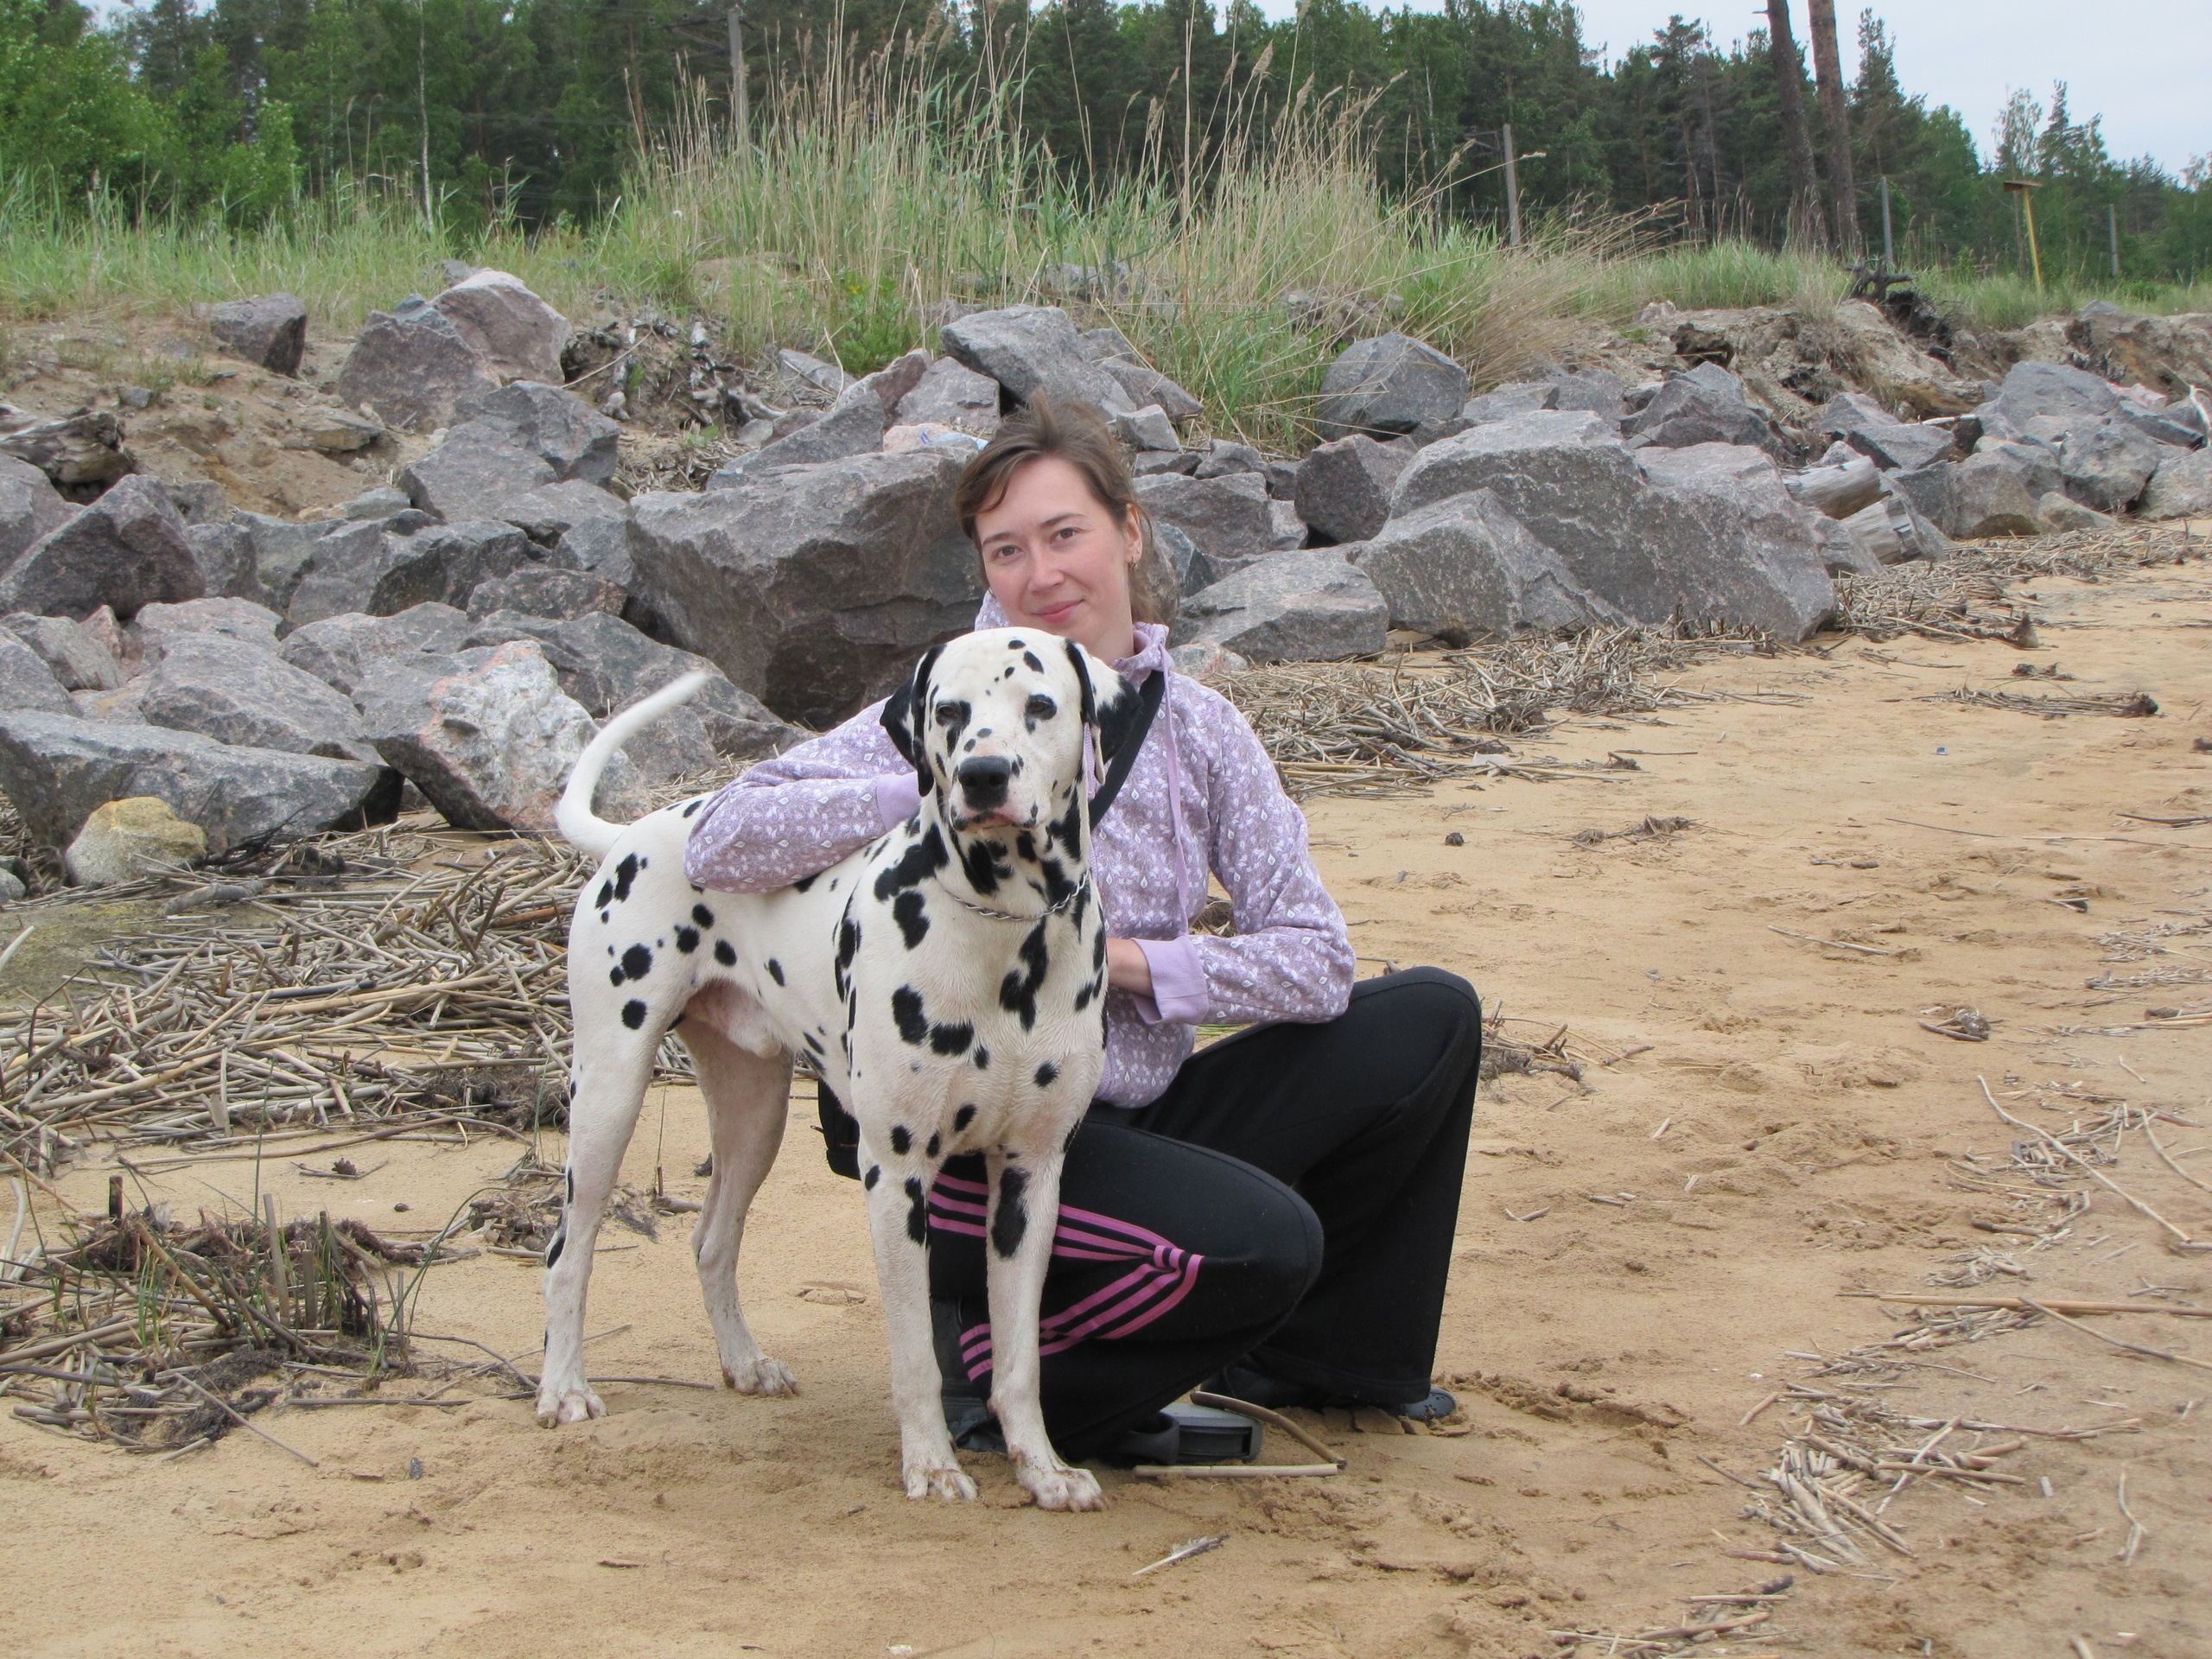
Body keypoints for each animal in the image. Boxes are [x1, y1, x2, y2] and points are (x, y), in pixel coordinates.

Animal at [539, 628, 1142, 1511]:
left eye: (1040, 705)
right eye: (949, 711)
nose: (983, 775)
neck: (1006, 933)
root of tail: (638, 834)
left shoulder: (1031, 1180)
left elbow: (1019, 1361)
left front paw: (1042, 1468)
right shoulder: (896, 1175)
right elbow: (916, 1355)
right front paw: (931, 1464)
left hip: (754, 1121)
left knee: (711, 1240)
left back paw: (744, 1362)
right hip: (609, 1096)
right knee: (568, 1248)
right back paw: (563, 1387)